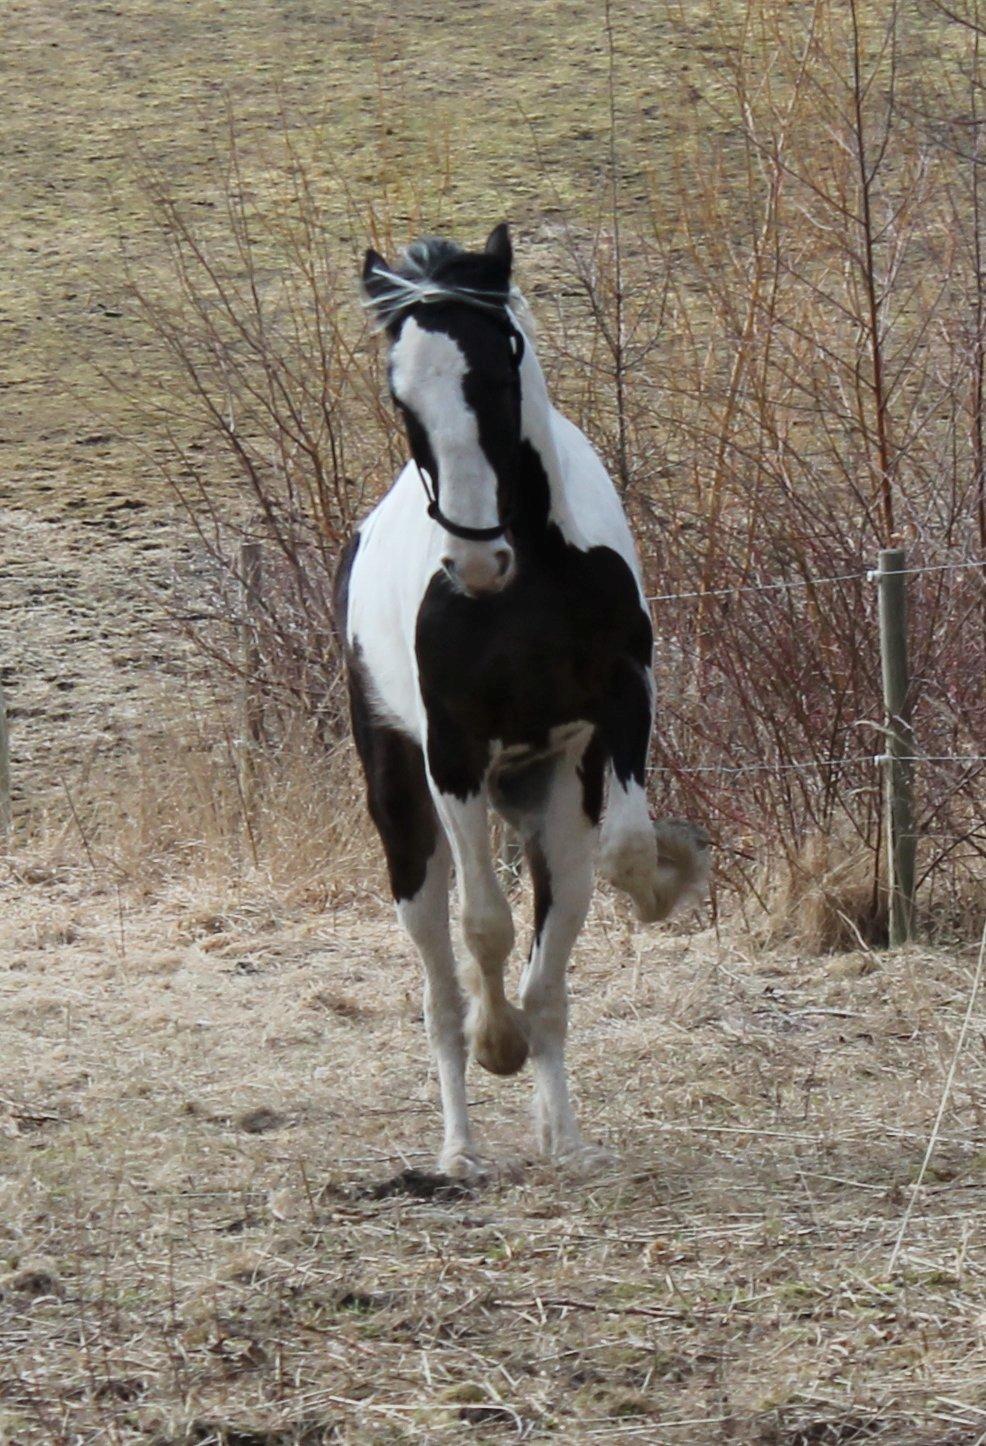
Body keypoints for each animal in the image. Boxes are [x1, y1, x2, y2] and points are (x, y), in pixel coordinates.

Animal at [338, 222, 705, 1174]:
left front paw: (673, 875)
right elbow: (485, 928)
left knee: (554, 952)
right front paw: (493, 1040)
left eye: (496, 376)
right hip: (403, 811)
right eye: (401, 396)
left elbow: (623, 858)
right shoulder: (454, 754)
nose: (474, 561)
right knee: (439, 980)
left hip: (551, 794)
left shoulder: (621, 708)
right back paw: (460, 1146)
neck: (530, 581)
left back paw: (562, 1137)